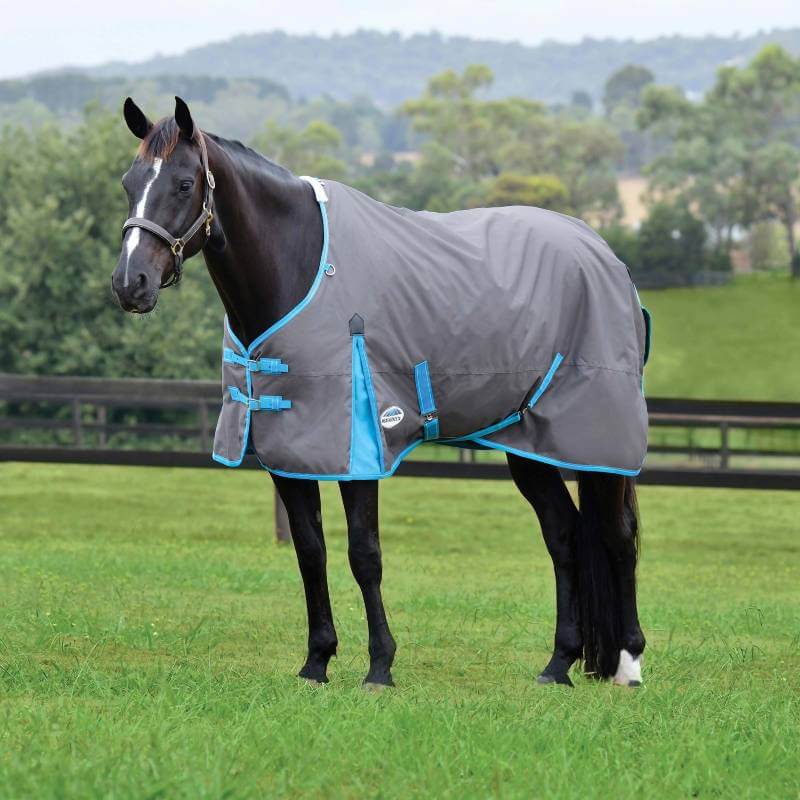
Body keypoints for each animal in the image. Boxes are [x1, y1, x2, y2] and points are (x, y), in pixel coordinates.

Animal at [111, 97, 646, 689]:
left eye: (184, 184)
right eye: (129, 182)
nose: (130, 283)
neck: (300, 267)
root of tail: (604, 254)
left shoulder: (359, 448)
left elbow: (364, 554)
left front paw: (380, 667)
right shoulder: (289, 451)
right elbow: (310, 552)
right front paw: (316, 661)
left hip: (598, 439)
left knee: (617, 536)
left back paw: (628, 663)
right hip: (527, 443)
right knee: (564, 535)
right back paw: (558, 664)